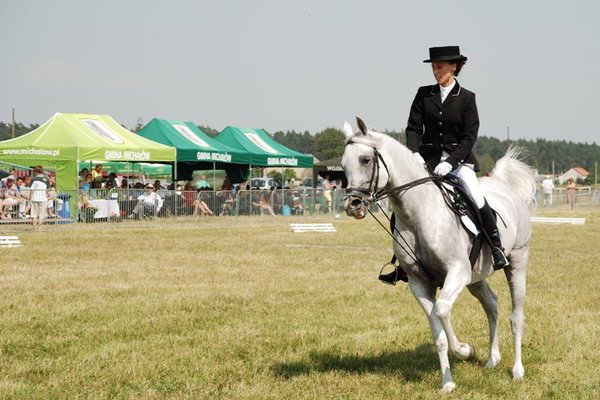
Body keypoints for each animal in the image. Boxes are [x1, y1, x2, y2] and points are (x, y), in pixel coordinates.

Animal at [342, 117, 536, 392]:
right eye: (342, 166)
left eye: (365, 160)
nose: (352, 205)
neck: (417, 213)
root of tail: (503, 185)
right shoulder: (419, 283)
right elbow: (438, 334)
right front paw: (448, 383)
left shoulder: (457, 272)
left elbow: (443, 311)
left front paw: (465, 350)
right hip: (475, 277)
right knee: (492, 304)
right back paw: (492, 359)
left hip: (517, 261)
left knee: (516, 315)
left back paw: (517, 371)